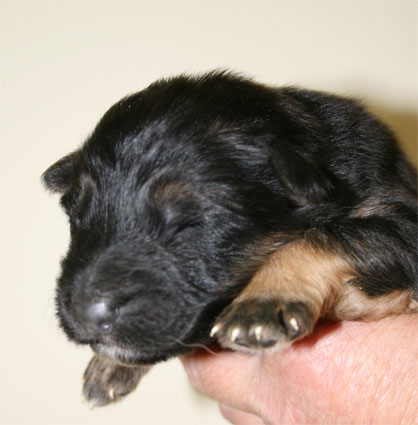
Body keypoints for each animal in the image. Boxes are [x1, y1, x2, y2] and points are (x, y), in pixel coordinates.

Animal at [42, 71, 418, 407]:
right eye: (76, 216)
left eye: (193, 221)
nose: (85, 314)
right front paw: (109, 366)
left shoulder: (403, 222)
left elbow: (322, 237)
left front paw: (261, 303)